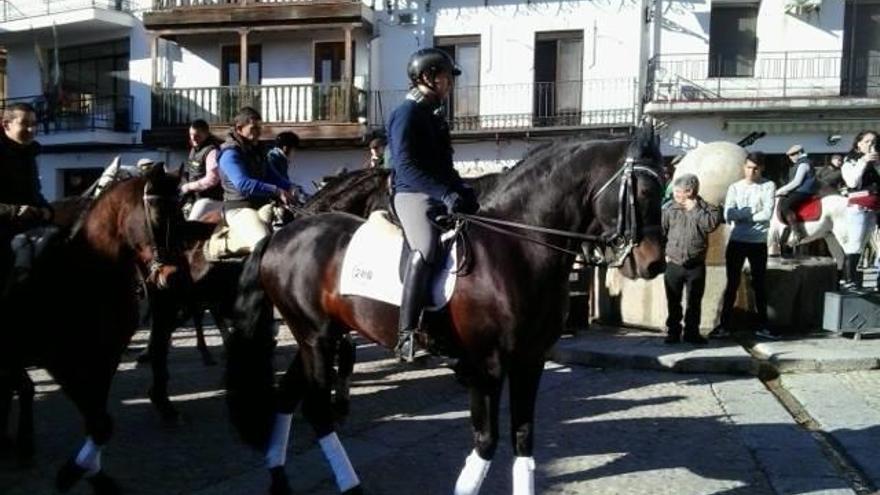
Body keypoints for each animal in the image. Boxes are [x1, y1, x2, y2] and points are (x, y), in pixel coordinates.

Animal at [0, 164, 186, 495]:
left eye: (181, 214)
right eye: (155, 213)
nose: (174, 277)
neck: (89, 274)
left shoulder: (105, 359)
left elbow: (98, 421)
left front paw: (94, 476)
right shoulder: (62, 363)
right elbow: (99, 423)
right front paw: (71, 473)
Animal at [223, 126, 664, 494]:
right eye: (643, 192)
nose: (654, 264)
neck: (517, 247)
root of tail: (281, 235)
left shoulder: (530, 361)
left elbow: (523, 438)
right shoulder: (487, 366)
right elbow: (486, 444)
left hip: (315, 335)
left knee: (285, 397)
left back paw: (279, 478)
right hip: (316, 337)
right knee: (315, 409)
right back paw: (349, 486)